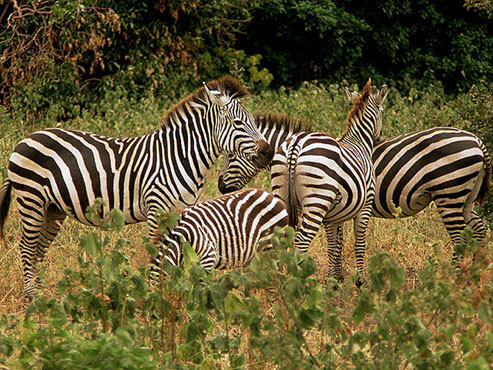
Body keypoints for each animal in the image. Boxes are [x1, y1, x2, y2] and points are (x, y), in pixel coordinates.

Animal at [0, 76, 272, 300]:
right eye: (238, 122)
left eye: (252, 121)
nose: (268, 151)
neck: (181, 156)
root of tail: (25, 139)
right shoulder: (157, 209)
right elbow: (158, 251)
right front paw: (155, 293)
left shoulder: (183, 211)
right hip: (32, 199)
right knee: (27, 247)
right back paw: (32, 296)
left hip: (53, 208)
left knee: (39, 249)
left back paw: (42, 294)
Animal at [270, 79, 388, 284]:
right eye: (382, 111)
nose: (379, 137)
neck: (359, 143)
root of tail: (295, 145)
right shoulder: (365, 205)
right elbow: (359, 242)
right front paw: (360, 281)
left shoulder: (332, 215)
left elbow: (334, 245)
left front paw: (333, 281)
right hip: (316, 201)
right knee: (301, 241)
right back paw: (297, 280)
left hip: (282, 193)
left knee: (281, 237)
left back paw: (278, 281)